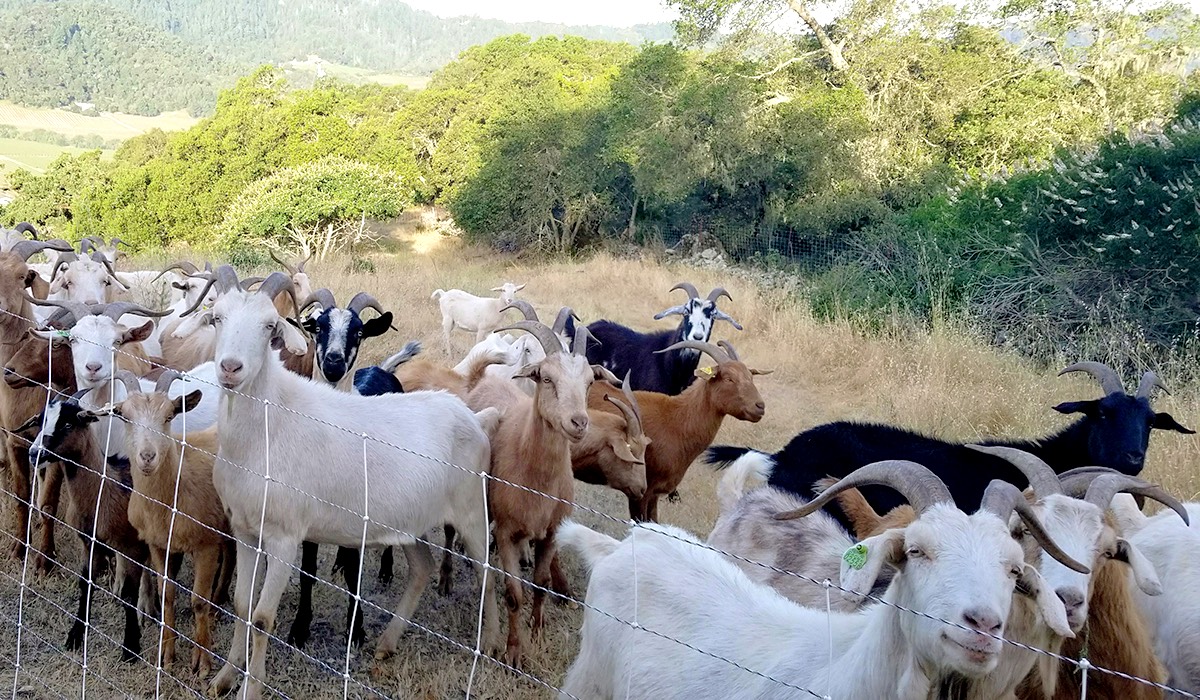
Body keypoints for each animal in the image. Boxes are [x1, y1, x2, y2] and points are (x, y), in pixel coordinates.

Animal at [590, 338, 768, 521]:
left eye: (750, 376)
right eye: (728, 378)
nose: (759, 406)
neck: (676, 421)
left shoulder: (654, 493)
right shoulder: (639, 491)